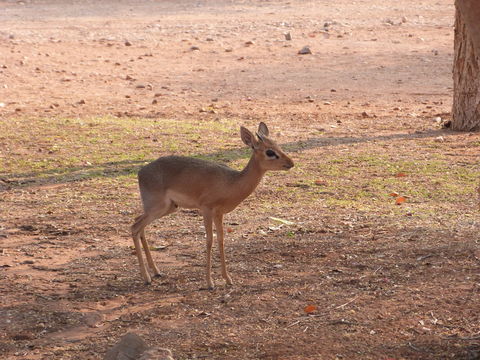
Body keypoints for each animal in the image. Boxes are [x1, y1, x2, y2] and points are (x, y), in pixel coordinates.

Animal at [133, 122, 294, 288]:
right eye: (270, 152)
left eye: (277, 145)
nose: (291, 163)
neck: (231, 182)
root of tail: (140, 172)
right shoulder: (206, 209)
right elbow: (209, 240)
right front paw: (210, 282)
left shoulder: (219, 213)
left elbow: (221, 239)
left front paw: (227, 278)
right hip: (157, 208)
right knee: (135, 227)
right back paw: (146, 277)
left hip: (167, 208)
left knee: (139, 225)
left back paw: (156, 271)